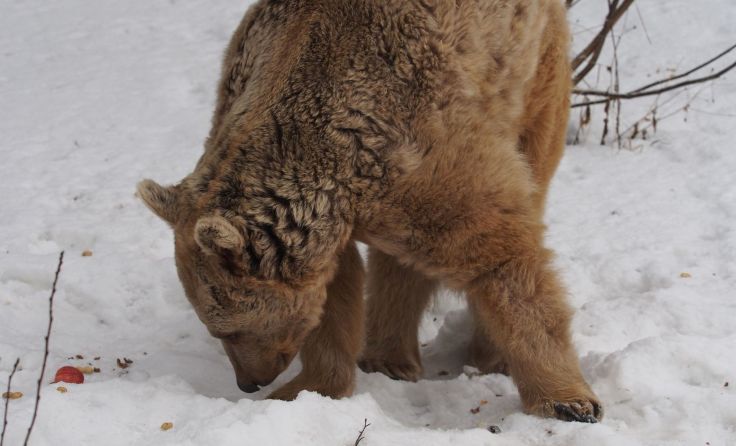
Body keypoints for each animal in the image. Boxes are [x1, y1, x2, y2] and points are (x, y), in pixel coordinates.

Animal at [137, 0, 602, 423]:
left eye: (228, 329)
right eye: (215, 328)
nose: (248, 382)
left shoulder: (417, 145)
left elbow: (498, 253)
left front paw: (569, 402)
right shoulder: (340, 209)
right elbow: (333, 294)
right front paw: (307, 389)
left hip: (530, 71)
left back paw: (482, 355)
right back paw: (388, 356)